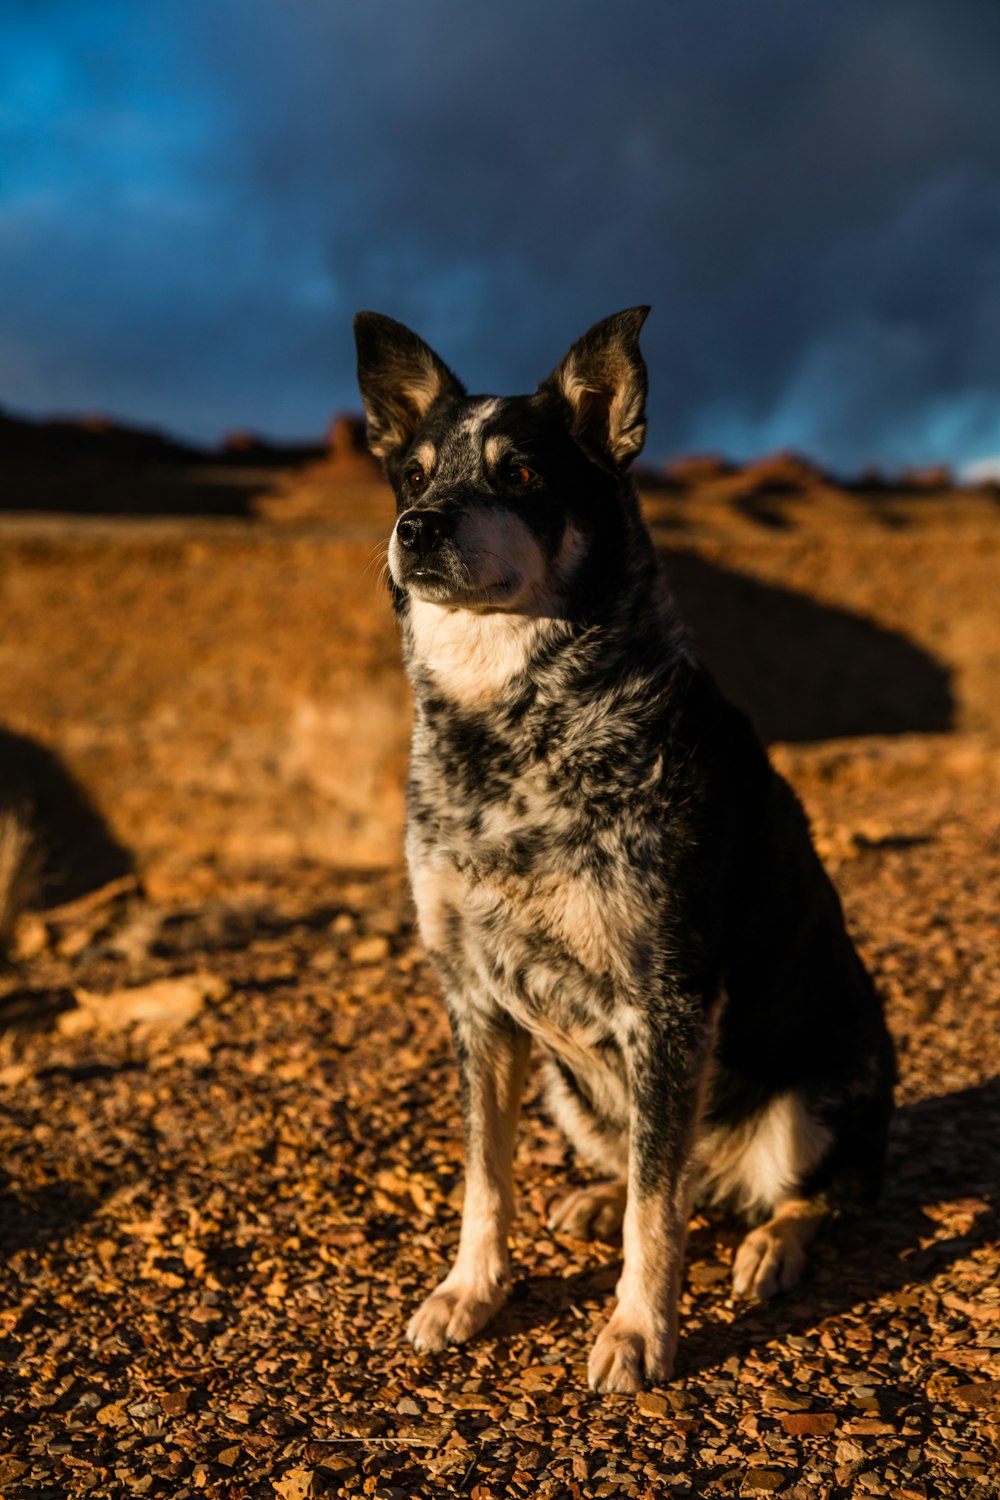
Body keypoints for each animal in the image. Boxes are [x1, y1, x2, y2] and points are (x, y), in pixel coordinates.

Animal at [353, 307, 899, 1392]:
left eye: (521, 473)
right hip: (571, 1089)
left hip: (818, 1093)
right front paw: (470, 1292)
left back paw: (769, 1245)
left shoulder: (668, 1000)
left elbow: (660, 1210)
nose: (418, 527)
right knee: (667, 1170)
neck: (509, 732)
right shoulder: (474, 1001)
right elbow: (486, 1176)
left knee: (793, 1188)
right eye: (411, 475)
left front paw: (639, 1331)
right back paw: (600, 1199)